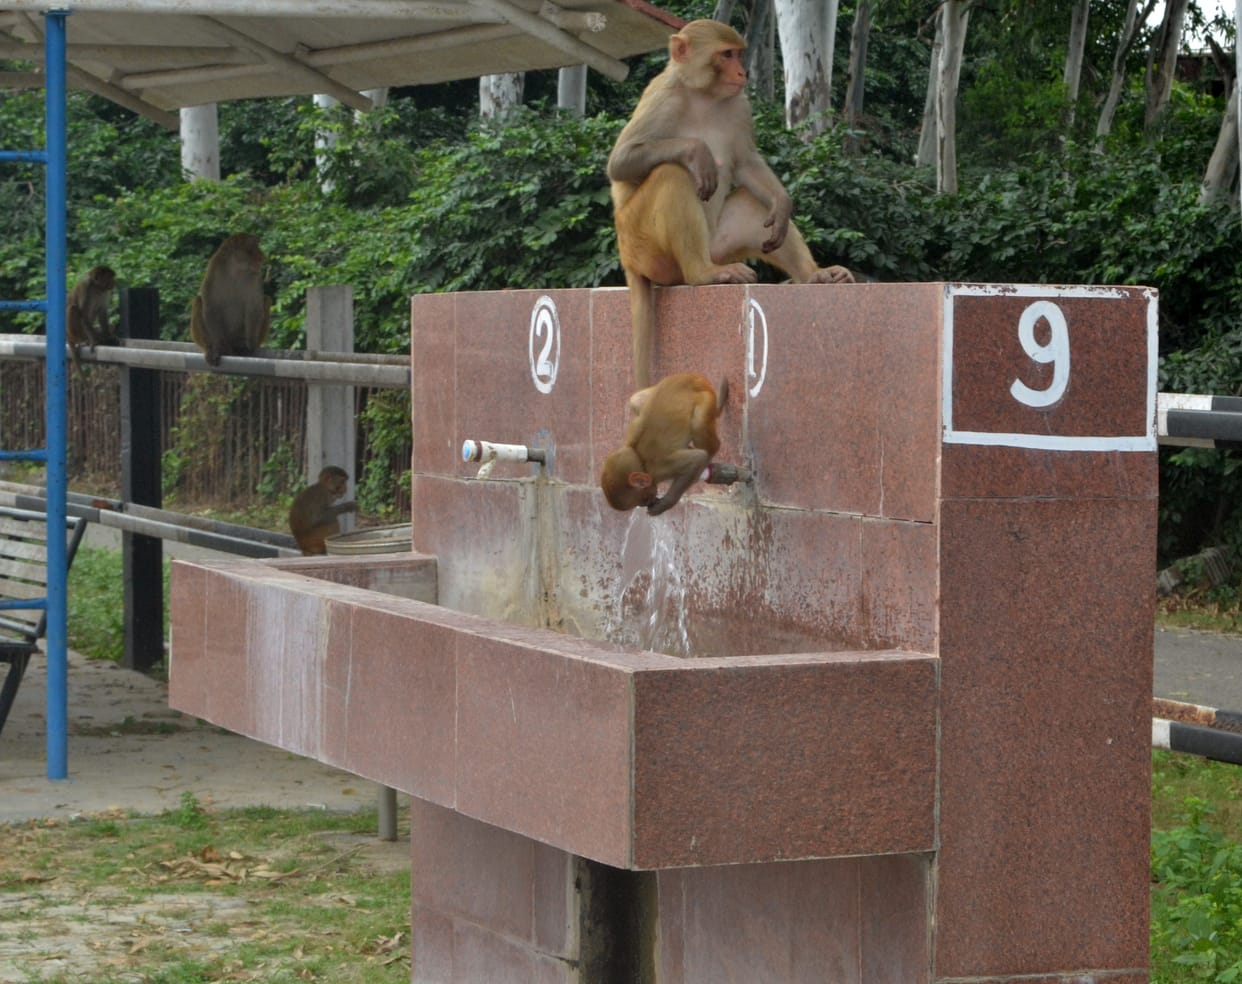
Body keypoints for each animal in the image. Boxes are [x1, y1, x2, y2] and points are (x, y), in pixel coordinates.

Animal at [189, 233, 271, 367]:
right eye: (252, 249)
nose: (263, 257)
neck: (235, 269)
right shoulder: (214, 268)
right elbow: (211, 306)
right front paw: (220, 347)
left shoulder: (255, 276)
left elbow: (254, 307)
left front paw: (250, 347)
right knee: (198, 301)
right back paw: (210, 348)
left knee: (266, 300)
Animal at [600, 372, 727, 516]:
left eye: (644, 500)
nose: (649, 503)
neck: (640, 460)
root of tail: (692, 377)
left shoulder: (661, 467)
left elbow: (697, 458)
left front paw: (664, 504)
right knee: (635, 401)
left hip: (705, 399)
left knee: (699, 424)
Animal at [608, 19, 855, 388]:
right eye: (726, 55)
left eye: (738, 54)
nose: (742, 72)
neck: (704, 96)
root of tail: (628, 260)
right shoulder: (663, 96)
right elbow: (620, 162)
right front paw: (696, 151)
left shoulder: (740, 105)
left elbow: (746, 163)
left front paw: (783, 202)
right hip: (644, 246)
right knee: (671, 175)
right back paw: (703, 274)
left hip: (718, 245)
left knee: (754, 205)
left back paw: (815, 276)